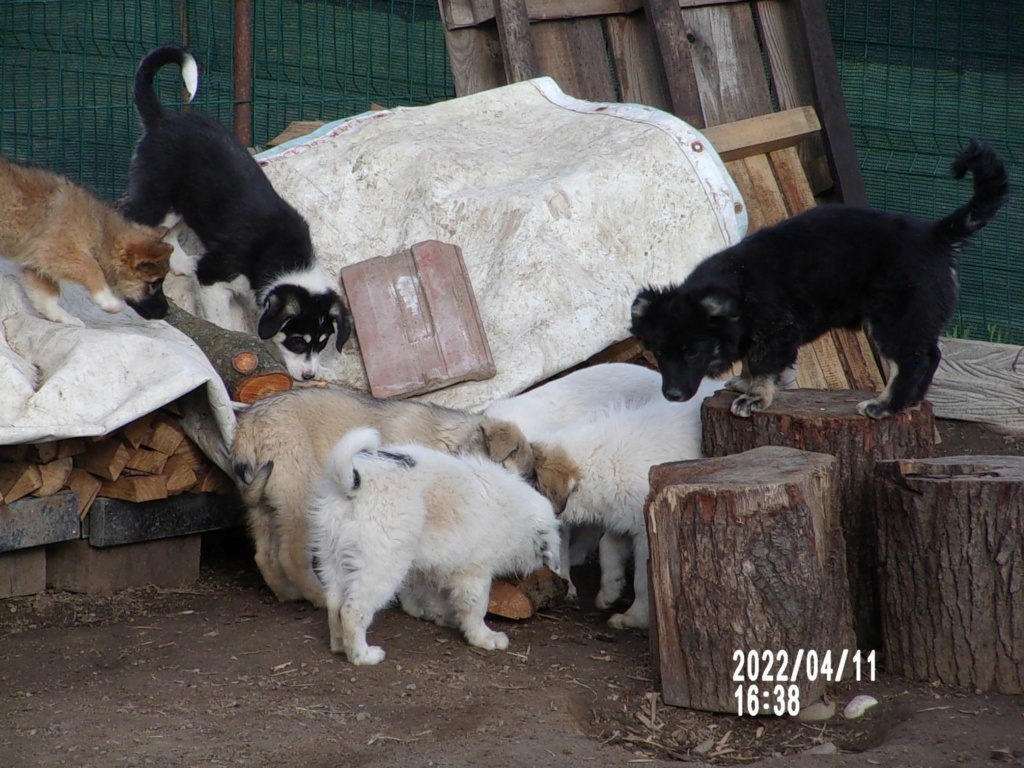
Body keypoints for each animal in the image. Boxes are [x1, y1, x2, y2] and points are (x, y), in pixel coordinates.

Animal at [0, 156, 172, 325]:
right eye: (155, 283)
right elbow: (92, 268)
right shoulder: (58, 252)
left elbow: (46, 297)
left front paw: (63, 316)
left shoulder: (36, 265)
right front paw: (109, 302)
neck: (102, 233)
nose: (167, 312)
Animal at [120, 43, 348, 380]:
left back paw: (182, 263)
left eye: (321, 343)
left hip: (188, 205)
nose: (309, 377)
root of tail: (162, 118)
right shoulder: (212, 277)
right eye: (296, 340)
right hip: (159, 201)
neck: (279, 257)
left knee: (169, 236)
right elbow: (222, 322)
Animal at [307, 428, 561, 667]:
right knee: (352, 611)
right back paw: (362, 655)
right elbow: (476, 608)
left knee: (334, 604)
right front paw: (484, 637)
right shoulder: (475, 573)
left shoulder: (434, 565)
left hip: (333, 557)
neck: (518, 513)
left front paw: (438, 615)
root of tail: (353, 483)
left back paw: (339, 646)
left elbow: (432, 594)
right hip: (382, 564)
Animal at [532, 376, 724, 626]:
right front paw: (609, 591)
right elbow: (607, 548)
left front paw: (633, 618)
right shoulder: (622, 519)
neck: (602, 463)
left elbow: (643, 582)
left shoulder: (646, 534)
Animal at [630, 141, 1007, 423]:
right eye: (659, 352)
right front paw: (745, 383)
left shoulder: (776, 331)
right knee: (929, 354)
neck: (737, 286)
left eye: (692, 351)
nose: (672, 396)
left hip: (894, 319)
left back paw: (887, 405)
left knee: (918, 360)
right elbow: (751, 360)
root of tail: (934, 235)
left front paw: (755, 397)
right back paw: (908, 402)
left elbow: (763, 364)